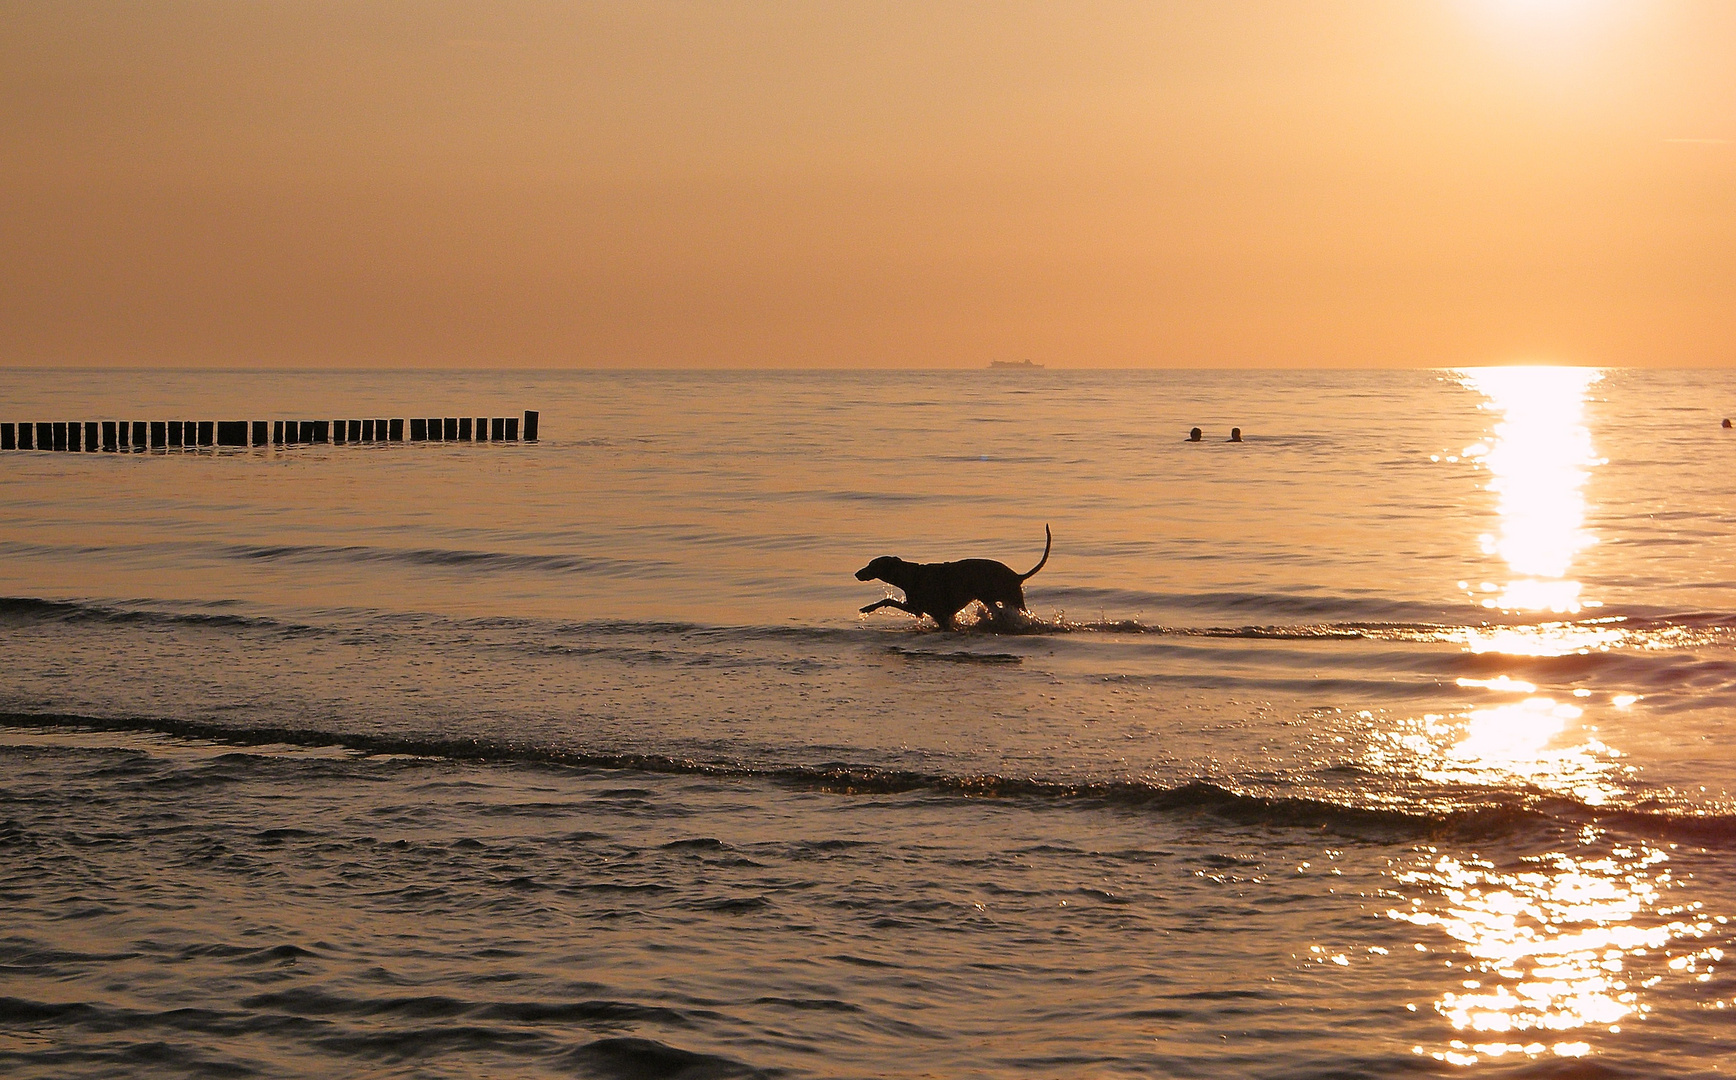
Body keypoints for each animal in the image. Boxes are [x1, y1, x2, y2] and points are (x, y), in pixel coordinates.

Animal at [857, 527, 1048, 632]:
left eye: (871, 565)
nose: (856, 573)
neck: (913, 575)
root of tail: (1017, 575)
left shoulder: (931, 613)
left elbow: (887, 600)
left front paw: (867, 608)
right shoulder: (921, 610)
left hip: (1011, 600)